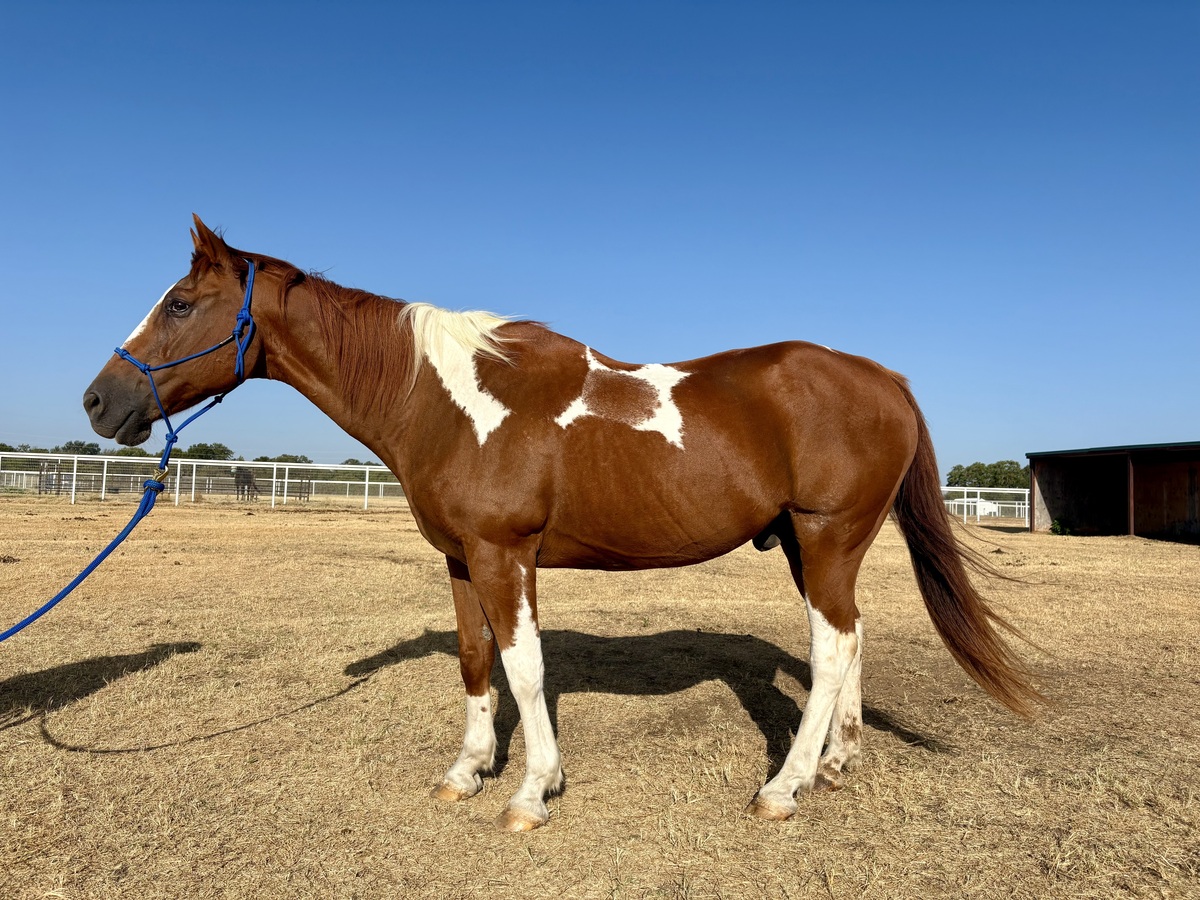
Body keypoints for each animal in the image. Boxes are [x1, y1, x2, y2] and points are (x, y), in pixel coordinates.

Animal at [83, 216, 1040, 831]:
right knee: (851, 636)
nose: (99, 401)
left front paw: (531, 792)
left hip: (828, 536)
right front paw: (468, 771)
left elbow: (525, 667)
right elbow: (475, 661)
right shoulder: (463, 559)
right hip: (812, 547)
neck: (447, 400)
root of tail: (884, 378)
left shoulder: (506, 555)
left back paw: (785, 785)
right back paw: (837, 762)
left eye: (179, 303)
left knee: (833, 645)